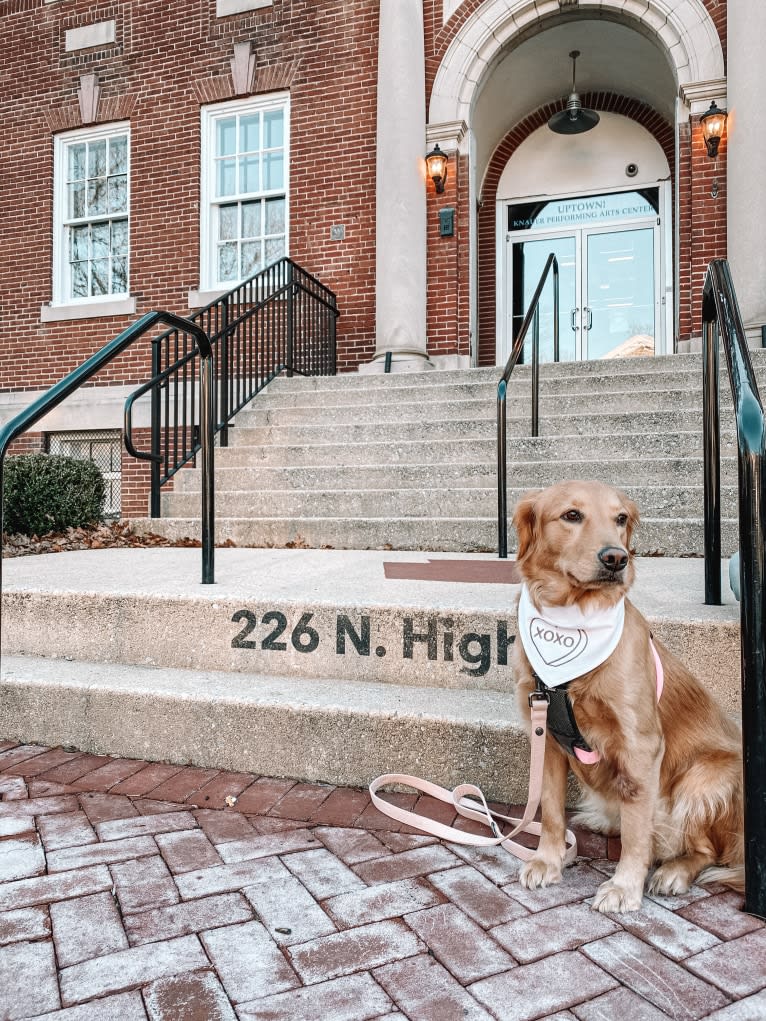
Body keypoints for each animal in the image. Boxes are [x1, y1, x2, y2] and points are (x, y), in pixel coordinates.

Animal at [516, 481, 743, 914]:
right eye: (572, 515)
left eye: (620, 518)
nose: (616, 558)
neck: (574, 617)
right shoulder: (549, 737)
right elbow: (550, 811)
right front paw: (548, 860)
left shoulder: (641, 744)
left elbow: (638, 833)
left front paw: (624, 886)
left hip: (705, 778)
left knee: (706, 850)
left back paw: (674, 871)